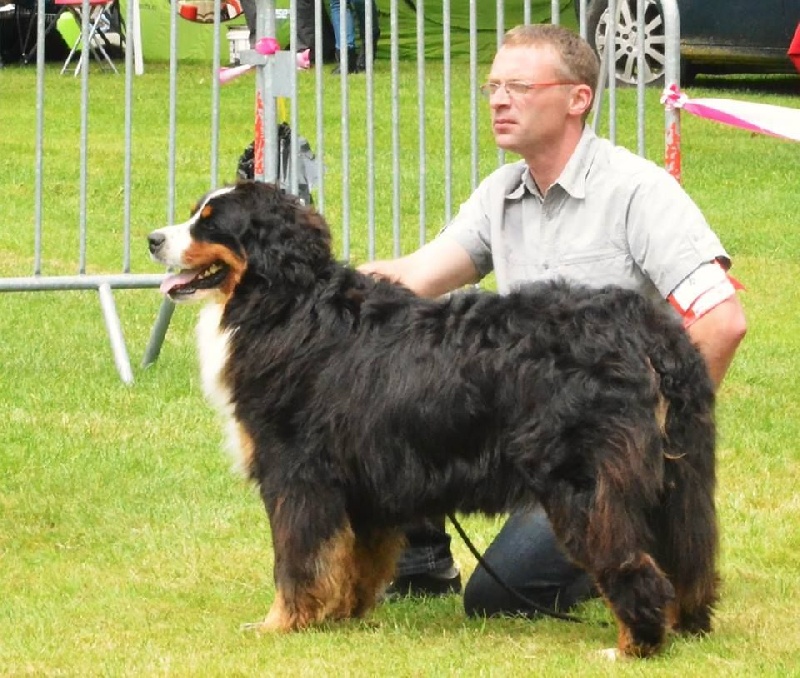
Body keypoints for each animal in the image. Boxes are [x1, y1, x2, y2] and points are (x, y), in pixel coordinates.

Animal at [148, 181, 720, 660]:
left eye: (210, 224)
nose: (153, 238)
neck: (286, 304)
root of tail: (643, 328)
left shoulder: (298, 475)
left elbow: (299, 561)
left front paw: (282, 623)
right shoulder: (365, 482)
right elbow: (354, 561)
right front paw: (343, 616)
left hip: (586, 486)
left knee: (634, 566)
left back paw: (633, 647)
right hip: (674, 481)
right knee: (686, 559)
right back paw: (682, 626)